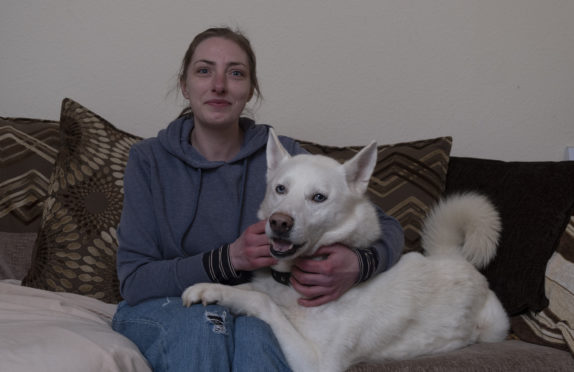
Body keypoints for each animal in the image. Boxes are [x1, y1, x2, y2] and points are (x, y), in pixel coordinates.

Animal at [182, 129, 510, 370]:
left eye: (318, 197)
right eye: (280, 189)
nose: (279, 222)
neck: (290, 282)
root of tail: (453, 259)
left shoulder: (315, 363)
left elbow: (264, 303)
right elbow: (252, 292)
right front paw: (212, 288)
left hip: (497, 328)